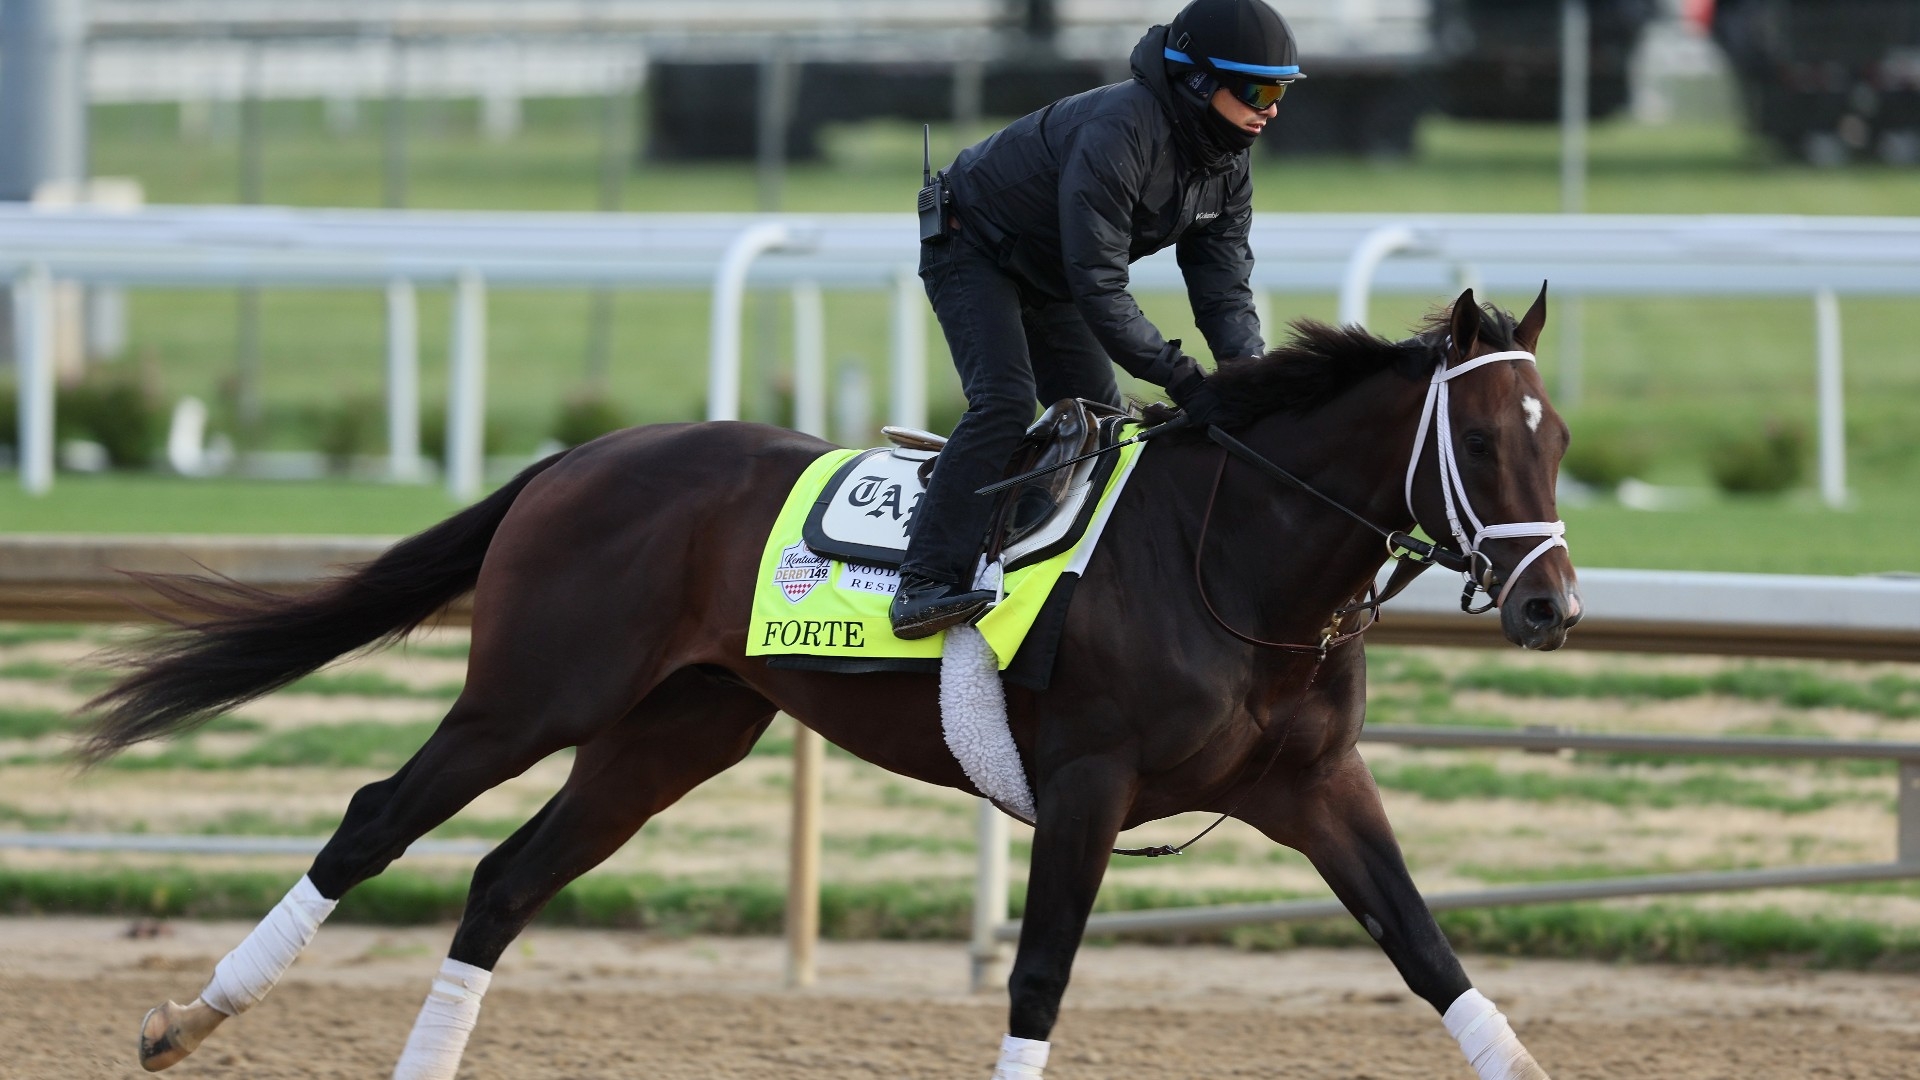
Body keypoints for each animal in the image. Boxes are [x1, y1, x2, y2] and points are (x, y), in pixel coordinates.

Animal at [83, 287, 1576, 1080]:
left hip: (677, 730)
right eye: (1484, 442)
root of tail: (579, 458)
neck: (1235, 558)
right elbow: (1039, 974)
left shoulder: (1315, 785)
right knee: (374, 821)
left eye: (1557, 439)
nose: (1554, 605)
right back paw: (187, 1017)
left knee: (503, 881)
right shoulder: (1087, 785)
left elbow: (1427, 950)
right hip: (532, 697)